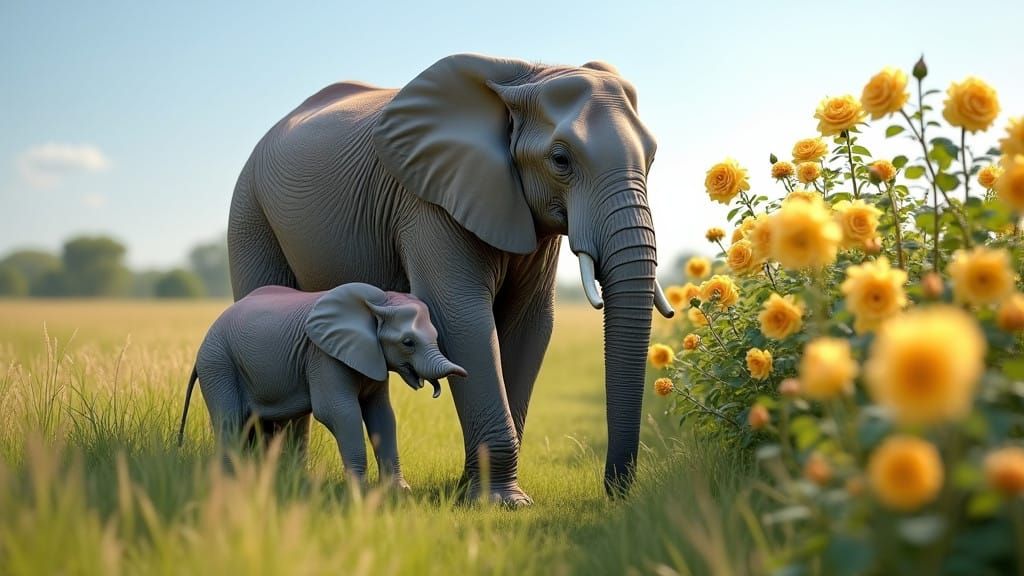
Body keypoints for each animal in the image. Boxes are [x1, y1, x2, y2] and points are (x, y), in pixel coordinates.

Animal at [176, 282, 467, 487]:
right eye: (408, 342)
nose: (436, 390)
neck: (379, 301)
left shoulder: (371, 356)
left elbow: (382, 414)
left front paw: (398, 492)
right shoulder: (322, 356)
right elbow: (338, 412)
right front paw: (359, 494)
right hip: (218, 363)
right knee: (232, 421)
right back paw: (230, 484)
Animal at [227, 53, 674, 505]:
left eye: (652, 158)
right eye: (560, 160)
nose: (613, 492)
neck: (528, 75)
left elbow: (530, 324)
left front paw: (480, 494)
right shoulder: (426, 203)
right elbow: (461, 316)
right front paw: (501, 504)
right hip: (250, 210)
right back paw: (282, 479)